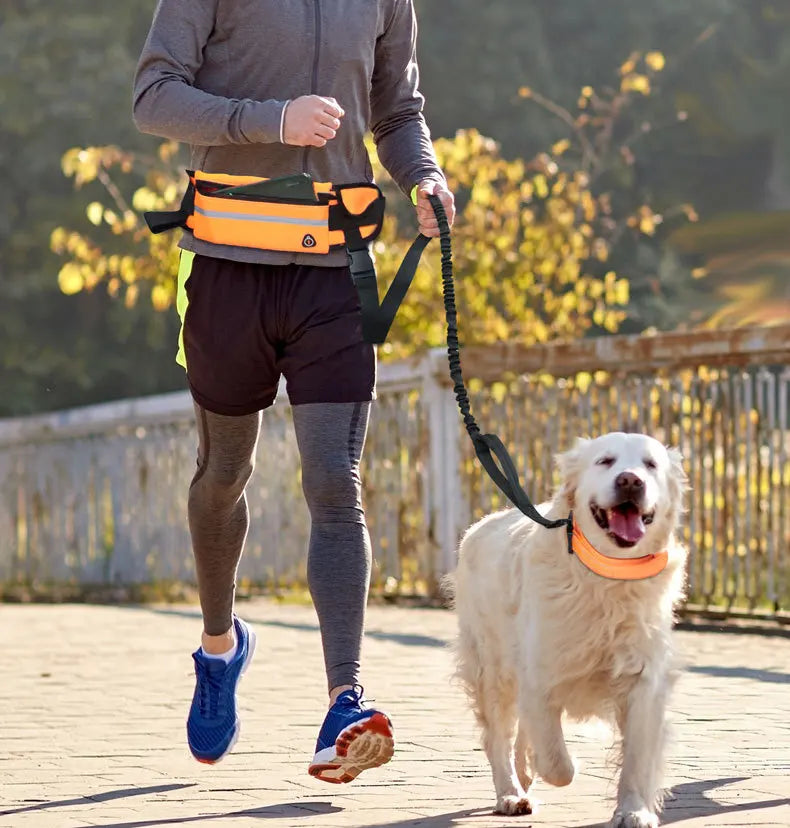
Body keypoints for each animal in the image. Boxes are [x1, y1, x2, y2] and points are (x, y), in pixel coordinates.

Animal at [448, 434, 688, 828]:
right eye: (605, 461)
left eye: (650, 464)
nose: (630, 481)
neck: (607, 578)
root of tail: (482, 525)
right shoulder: (540, 674)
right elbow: (556, 762)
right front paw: (553, 765)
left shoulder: (643, 680)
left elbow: (637, 756)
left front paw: (633, 810)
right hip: (492, 669)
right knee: (498, 736)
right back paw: (511, 793)